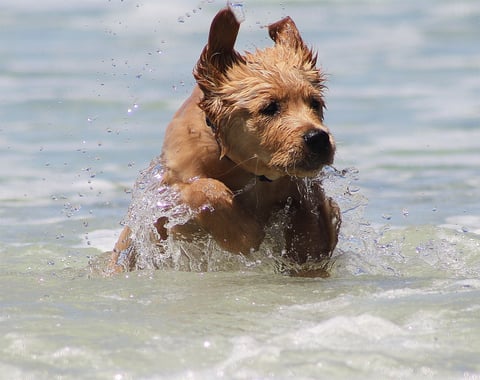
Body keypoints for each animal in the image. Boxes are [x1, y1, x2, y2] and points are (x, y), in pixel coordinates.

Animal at [109, 4, 342, 274]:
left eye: (315, 103)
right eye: (270, 107)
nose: (318, 138)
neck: (250, 171)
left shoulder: (301, 183)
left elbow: (312, 204)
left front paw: (309, 240)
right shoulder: (169, 201)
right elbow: (205, 188)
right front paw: (244, 234)